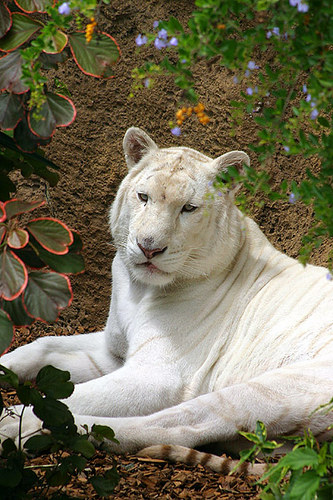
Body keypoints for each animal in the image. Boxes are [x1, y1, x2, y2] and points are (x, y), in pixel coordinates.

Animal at [0, 126, 332, 468]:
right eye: (143, 197)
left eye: (189, 208)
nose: (149, 247)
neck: (137, 290)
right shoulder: (113, 352)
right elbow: (42, 346)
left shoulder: (156, 375)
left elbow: (67, 399)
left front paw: (10, 419)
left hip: (271, 389)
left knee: (174, 426)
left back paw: (26, 432)